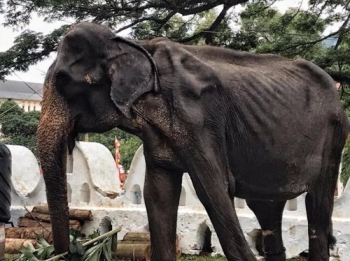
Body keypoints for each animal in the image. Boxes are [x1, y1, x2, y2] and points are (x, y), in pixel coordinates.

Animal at [37, 22, 348, 260]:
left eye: (64, 80)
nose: (69, 251)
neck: (135, 45)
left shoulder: (199, 118)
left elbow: (213, 189)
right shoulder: (157, 134)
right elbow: (157, 194)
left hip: (335, 136)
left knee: (317, 206)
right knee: (267, 209)